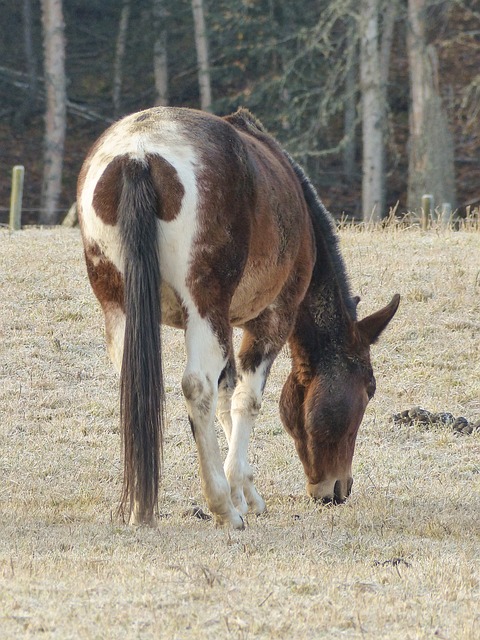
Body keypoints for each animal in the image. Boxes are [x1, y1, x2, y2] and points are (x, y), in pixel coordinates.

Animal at [77, 106, 400, 528]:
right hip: (203, 307)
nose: (338, 489)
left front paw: (244, 492)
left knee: (135, 386)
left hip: (122, 307)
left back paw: (139, 509)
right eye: (369, 388)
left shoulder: (226, 322)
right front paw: (237, 492)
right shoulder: (271, 318)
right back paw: (221, 507)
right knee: (197, 387)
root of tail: (139, 154)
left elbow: (227, 395)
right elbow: (246, 400)